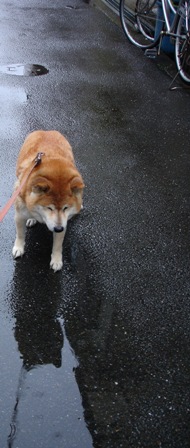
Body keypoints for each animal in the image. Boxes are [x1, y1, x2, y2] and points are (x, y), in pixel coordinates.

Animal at [12, 128, 84, 272]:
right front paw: (18, 248)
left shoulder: (63, 221)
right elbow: (20, 234)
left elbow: (57, 245)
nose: (58, 228)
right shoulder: (19, 214)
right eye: (49, 207)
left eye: (65, 208)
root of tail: (47, 131)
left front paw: (56, 260)